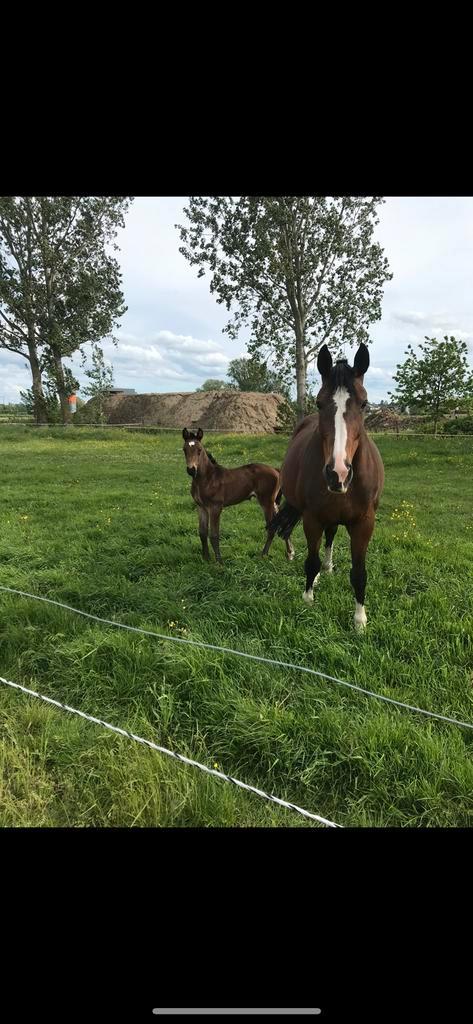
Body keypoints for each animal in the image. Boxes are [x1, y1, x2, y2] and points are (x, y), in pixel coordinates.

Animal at [183, 428, 292, 565]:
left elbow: (214, 535)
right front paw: (206, 558)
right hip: (273, 503)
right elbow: (202, 532)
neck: (207, 478)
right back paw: (290, 554)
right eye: (184, 450)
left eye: (199, 450)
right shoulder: (201, 507)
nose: (191, 470)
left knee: (272, 528)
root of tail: (276, 470)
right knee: (282, 524)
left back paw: (263, 555)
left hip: (266, 501)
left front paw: (219, 562)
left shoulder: (215, 508)